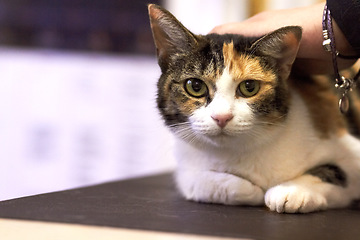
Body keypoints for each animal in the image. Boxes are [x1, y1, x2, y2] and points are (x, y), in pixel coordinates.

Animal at [147, 3, 360, 213]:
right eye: (195, 86)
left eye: (249, 87)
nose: (221, 117)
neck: (239, 151)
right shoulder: (187, 170)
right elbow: (199, 182)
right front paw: (250, 190)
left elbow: (333, 172)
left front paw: (291, 191)